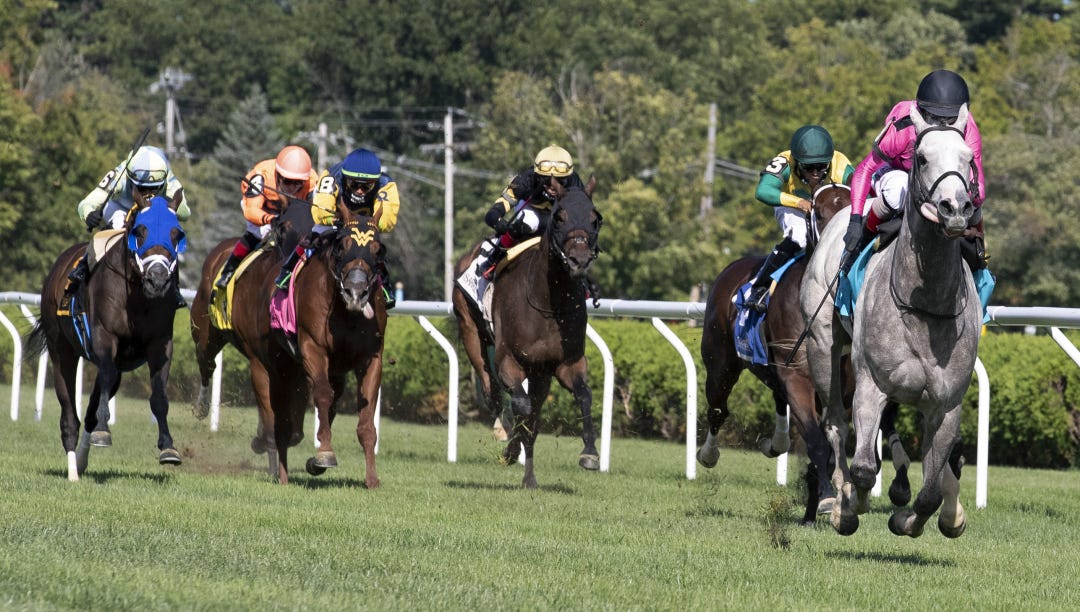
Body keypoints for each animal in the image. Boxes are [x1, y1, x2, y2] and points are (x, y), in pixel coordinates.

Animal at [26, 192, 188, 481]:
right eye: (140, 232)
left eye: (176, 234)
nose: (157, 280)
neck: (137, 298)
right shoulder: (104, 336)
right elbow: (105, 377)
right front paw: (104, 431)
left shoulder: (160, 343)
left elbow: (158, 394)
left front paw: (168, 447)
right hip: (61, 350)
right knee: (70, 412)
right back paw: (73, 471)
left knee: (92, 407)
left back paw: (80, 461)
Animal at [452, 176, 603, 488]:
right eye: (559, 217)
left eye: (594, 218)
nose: (579, 260)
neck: (548, 302)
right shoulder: (508, 360)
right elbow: (522, 407)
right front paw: (510, 448)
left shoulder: (565, 363)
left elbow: (582, 396)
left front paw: (590, 453)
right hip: (470, 329)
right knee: (493, 393)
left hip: (540, 373)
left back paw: (529, 477)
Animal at [801, 104, 980, 537]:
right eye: (922, 157)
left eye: (968, 159)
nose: (954, 209)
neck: (926, 306)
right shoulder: (870, 384)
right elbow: (865, 467)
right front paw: (849, 508)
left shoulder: (947, 404)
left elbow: (931, 489)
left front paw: (914, 519)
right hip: (823, 346)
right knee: (835, 423)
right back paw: (839, 495)